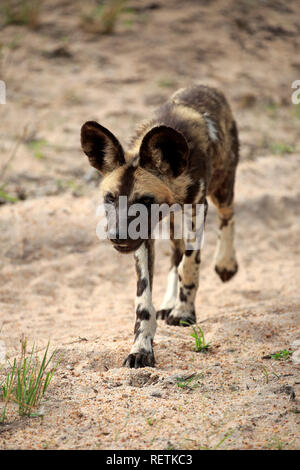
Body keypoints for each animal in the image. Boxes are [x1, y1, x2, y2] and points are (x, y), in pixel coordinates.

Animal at [80, 85, 239, 370]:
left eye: (145, 200)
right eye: (110, 198)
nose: (117, 236)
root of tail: (208, 87)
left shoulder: (198, 210)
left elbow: (190, 265)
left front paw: (185, 312)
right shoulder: (144, 237)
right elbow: (144, 303)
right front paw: (141, 348)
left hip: (221, 191)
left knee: (227, 217)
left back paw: (225, 264)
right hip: (174, 224)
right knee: (175, 256)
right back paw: (168, 302)